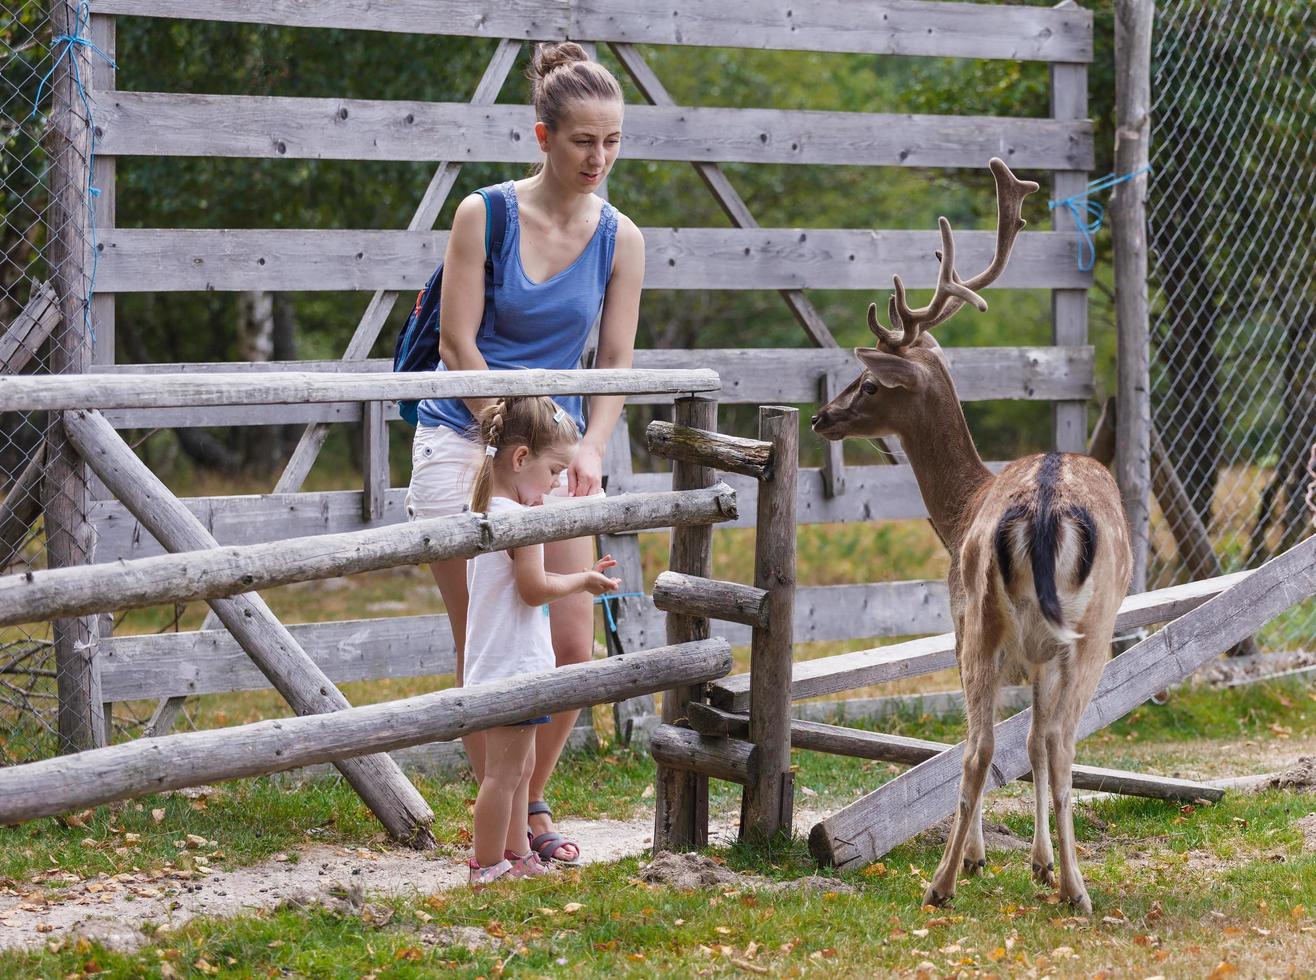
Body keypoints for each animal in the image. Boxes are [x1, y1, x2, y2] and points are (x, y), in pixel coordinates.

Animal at [810, 156, 1131, 915]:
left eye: (869, 383)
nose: (820, 418)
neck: (958, 511)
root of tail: (1041, 507)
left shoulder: (956, 619)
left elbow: (1001, 744)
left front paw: (993, 858)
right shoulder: (1040, 655)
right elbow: (1032, 746)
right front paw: (1038, 862)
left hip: (999, 619)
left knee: (987, 744)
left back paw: (950, 882)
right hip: (1078, 629)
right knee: (1052, 742)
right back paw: (1068, 883)